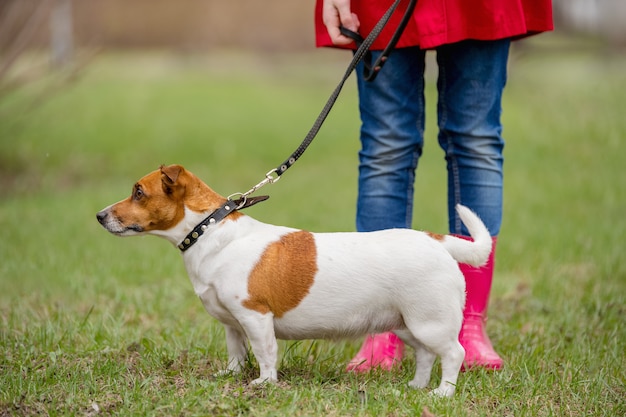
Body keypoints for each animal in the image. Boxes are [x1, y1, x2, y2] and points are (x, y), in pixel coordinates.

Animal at [95, 164, 490, 394]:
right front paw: (232, 376)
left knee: (452, 353)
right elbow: (236, 352)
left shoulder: (255, 316)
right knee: (425, 355)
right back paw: (417, 386)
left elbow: (265, 352)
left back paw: (443, 393)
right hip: (409, 325)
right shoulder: (232, 324)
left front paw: (265, 383)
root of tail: (435, 240)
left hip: (430, 323)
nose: (99, 216)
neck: (211, 231)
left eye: (138, 192)